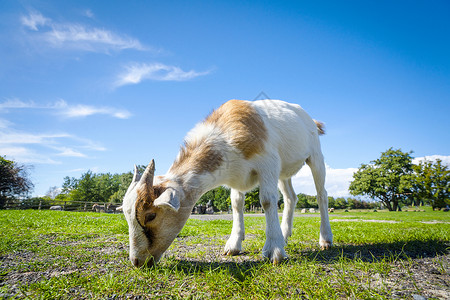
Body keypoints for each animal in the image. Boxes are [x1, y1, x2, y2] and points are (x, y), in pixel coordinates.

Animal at [121, 100, 332, 268]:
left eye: (151, 216)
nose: (137, 261)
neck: (224, 134)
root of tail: (310, 120)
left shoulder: (268, 163)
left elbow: (267, 201)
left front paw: (274, 250)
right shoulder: (237, 178)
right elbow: (236, 204)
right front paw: (233, 245)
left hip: (316, 156)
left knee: (321, 195)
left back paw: (325, 240)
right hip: (284, 173)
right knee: (290, 198)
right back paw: (285, 234)